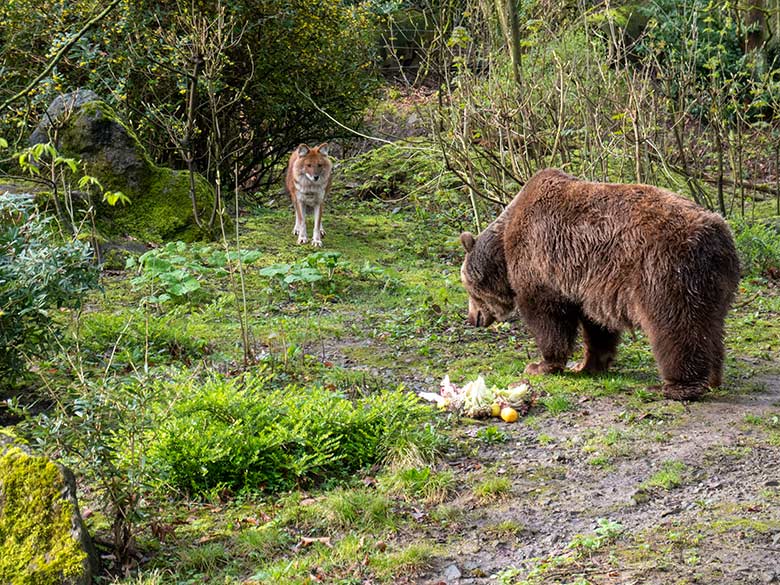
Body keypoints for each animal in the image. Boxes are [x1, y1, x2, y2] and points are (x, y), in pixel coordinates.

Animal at [460, 167, 740, 400]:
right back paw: (713, 378)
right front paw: (589, 365)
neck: (503, 249)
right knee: (711, 326)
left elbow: (548, 318)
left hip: (665, 273)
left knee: (675, 327)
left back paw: (677, 387)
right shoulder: (589, 285)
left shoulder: (541, 264)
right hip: (716, 284)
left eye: (467, 287)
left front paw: (540, 365)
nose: (472, 318)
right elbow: (597, 327)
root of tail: (717, 235)